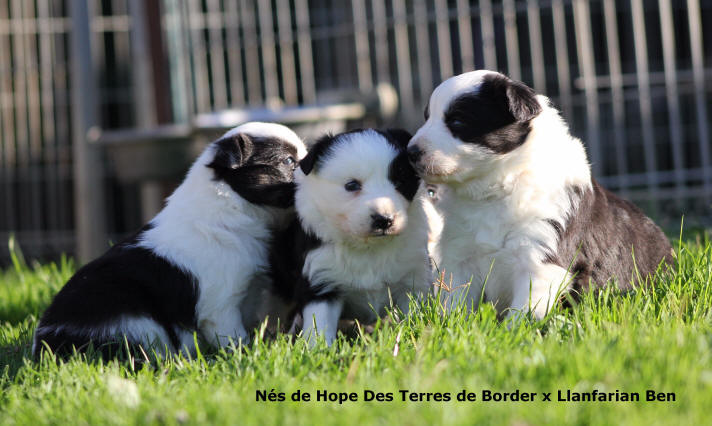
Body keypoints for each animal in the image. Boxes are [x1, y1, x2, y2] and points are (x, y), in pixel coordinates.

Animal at [33, 121, 306, 358]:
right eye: (289, 161)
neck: (232, 203)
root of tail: (47, 342)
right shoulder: (220, 305)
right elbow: (234, 337)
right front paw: (246, 355)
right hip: (137, 320)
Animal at [268, 128, 432, 344]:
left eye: (400, 182)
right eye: (352, 185)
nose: (384, 220)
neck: (369, 247)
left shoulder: (414, 276)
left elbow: (415, 313)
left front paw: (417, 336)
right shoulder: (321, 280)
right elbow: (319, 326)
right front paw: (318, 349)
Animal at [406, 70, 672, 318]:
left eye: (458, 121)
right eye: (427, 117)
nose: (411, 152)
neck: (495, 190)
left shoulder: (541, 260)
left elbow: (525, 313)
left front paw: (515, 332)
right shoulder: (460, 256)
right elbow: (455, 302)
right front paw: (449, 324)